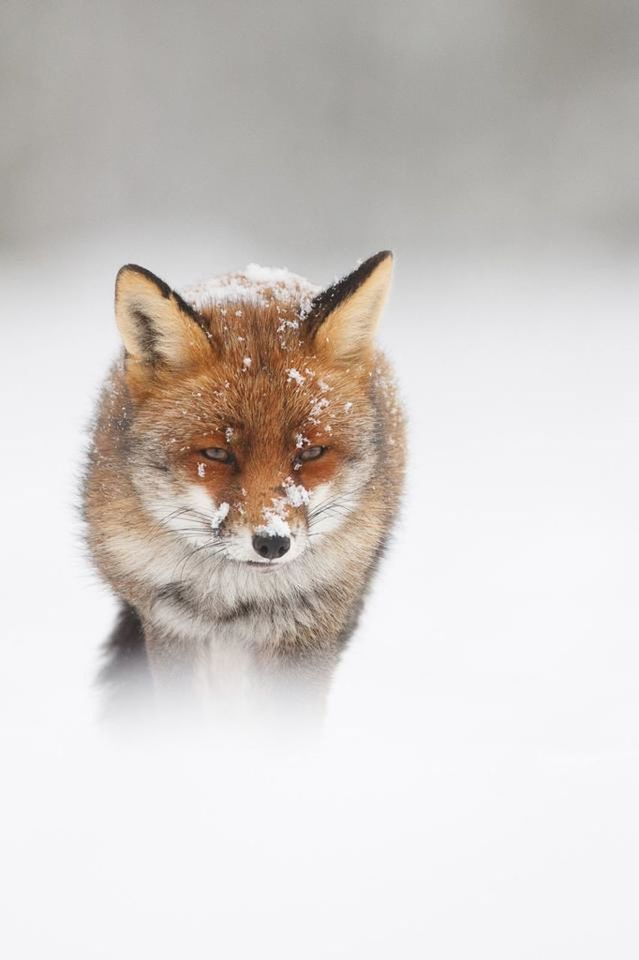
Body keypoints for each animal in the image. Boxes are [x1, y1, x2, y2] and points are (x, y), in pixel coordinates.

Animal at [84, 253, 404, 720]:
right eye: (217, 453)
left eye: (311, 452)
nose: (272, 542)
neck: (235, 597)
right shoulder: (170, 624)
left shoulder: (307, 628)